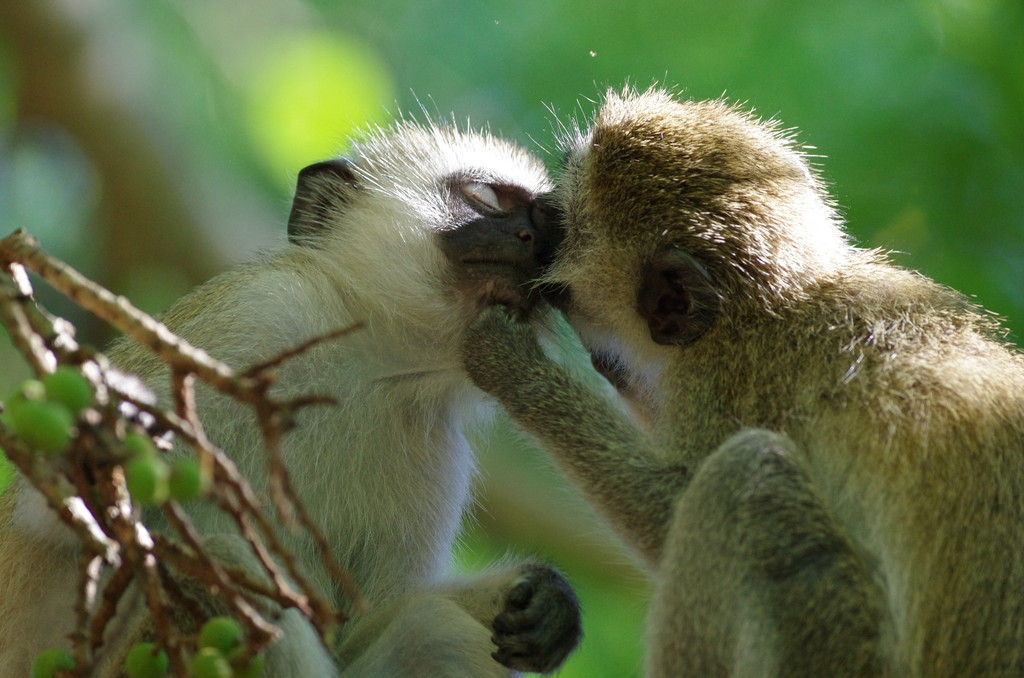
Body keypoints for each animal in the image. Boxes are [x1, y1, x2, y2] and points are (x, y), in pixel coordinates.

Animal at [464, 87, 1024, 675]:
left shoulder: (726, 383)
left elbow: (673, 507)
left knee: (740, 478)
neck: (768, 313)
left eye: (559, 224)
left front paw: (514, 367)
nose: (535, 213)